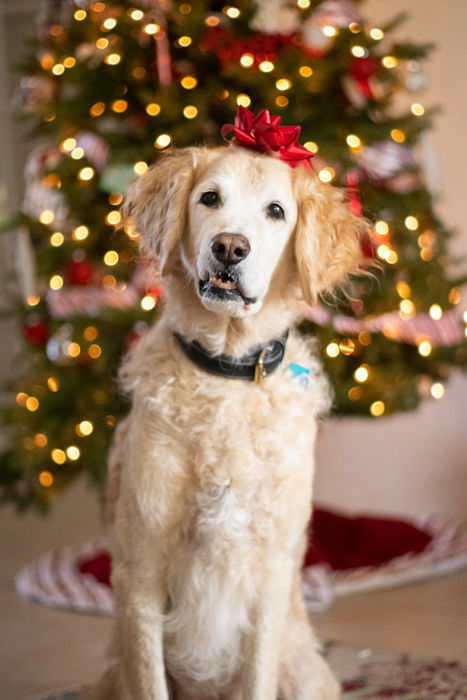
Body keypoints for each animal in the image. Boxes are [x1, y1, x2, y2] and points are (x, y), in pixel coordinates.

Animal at [84, 135, 370, 696]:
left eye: (276, 211)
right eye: (210, 198)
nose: (230, 248)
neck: (228, 373)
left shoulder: (271, 574)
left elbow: (257, 677)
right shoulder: (141, 572)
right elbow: (150, 682)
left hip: (303, 672)